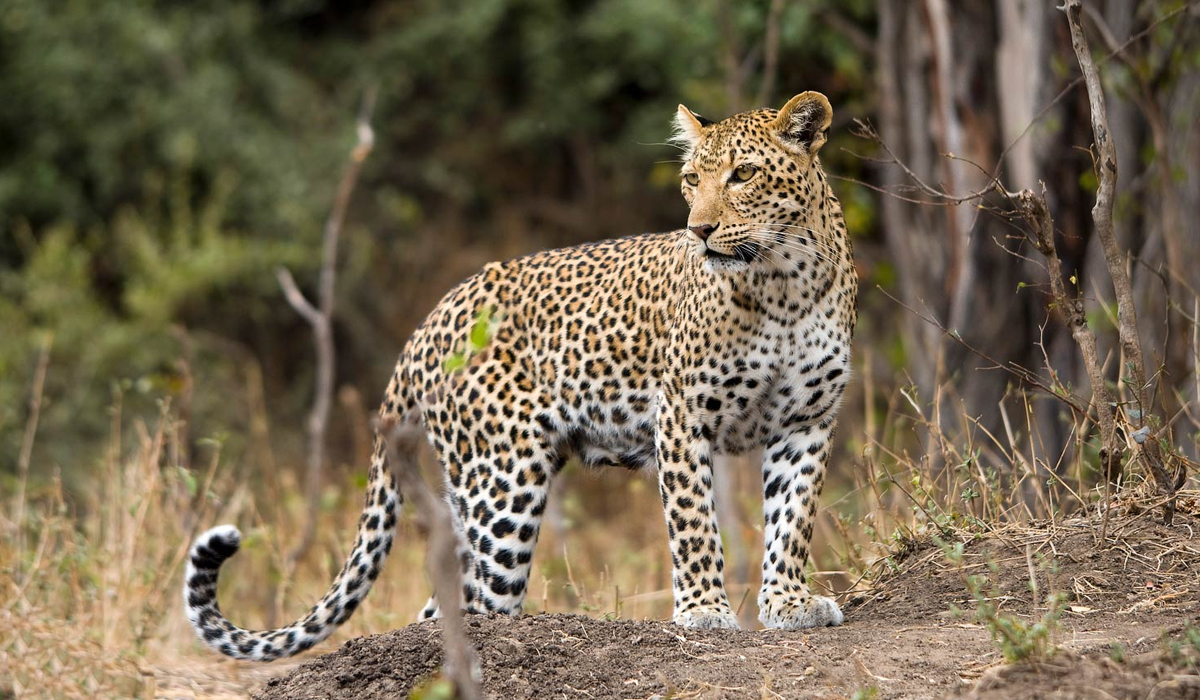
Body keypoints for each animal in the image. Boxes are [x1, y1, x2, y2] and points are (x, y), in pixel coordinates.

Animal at [184, 90, 854, 657]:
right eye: (692, 179)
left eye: (743, 175)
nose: (700, 230)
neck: (781, 283)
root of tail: (431, 318)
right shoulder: (683, 415)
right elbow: (693, 523)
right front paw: (704, 613)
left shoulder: (809, 421)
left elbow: (793, 518)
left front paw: (789, 603)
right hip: (504, 481)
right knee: (477, 601)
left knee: (442, 606)